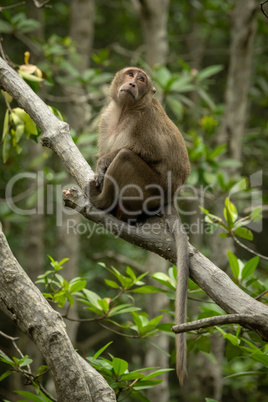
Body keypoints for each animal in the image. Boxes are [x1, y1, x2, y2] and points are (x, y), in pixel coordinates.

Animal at [87, 66, 191, 384]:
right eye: (130, 74)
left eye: (141, 80)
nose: (132, 83)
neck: (124, 112)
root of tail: (169, 198)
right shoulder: (105, 118)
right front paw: (99, 165)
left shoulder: (145, 124)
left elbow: (152, 155)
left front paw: (104, 163)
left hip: (148, 189)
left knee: (126, 156)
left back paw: (103, 201)